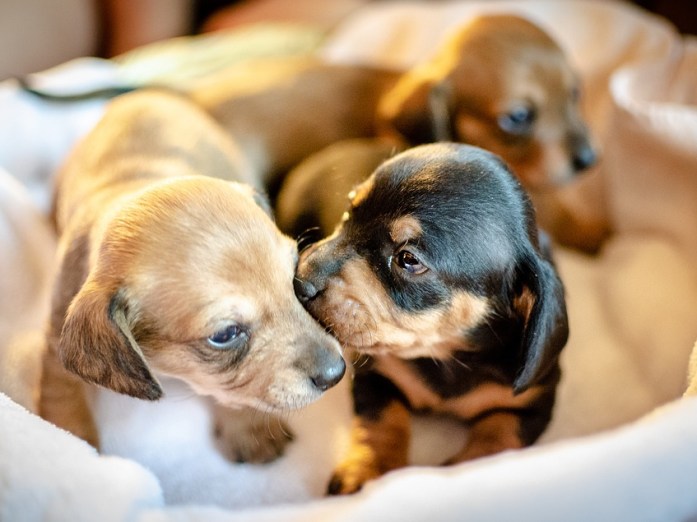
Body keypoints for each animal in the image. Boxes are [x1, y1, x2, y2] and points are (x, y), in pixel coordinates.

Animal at [39, 88, 344, 460]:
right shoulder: (54, 347)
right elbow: (63, 403)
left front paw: (249, 428)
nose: (336, 373)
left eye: (294, 279)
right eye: (225, 334)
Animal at [290, 142, 568, 492]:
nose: (299, 281)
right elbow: (381, 421)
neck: (447, 355)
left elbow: (500, 436)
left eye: (408, 259)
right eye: (348, 213)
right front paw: (367, 470)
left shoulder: (533, 402)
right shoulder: (377, 374)